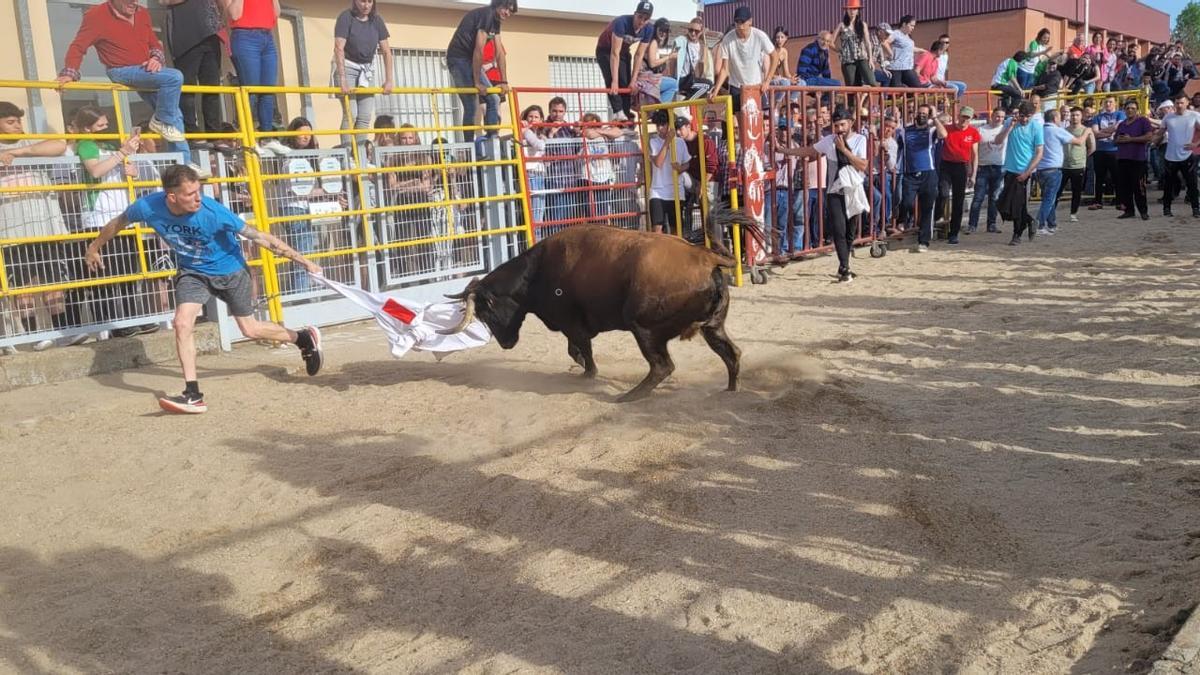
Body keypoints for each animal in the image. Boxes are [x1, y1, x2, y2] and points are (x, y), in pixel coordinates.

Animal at [441, 208, 758, 398]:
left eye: (487, 312)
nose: (506, 344)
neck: (538, 270)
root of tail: (705, 256)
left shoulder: (572, 323)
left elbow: (581, 349)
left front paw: (588, 372)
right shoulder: (573, 325)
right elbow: (575, 350)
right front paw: (582, 368)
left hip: (643, 327)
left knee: (662, 366)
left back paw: (630, 396)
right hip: (712, 326)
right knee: (732, 353)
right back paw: (730, 389)